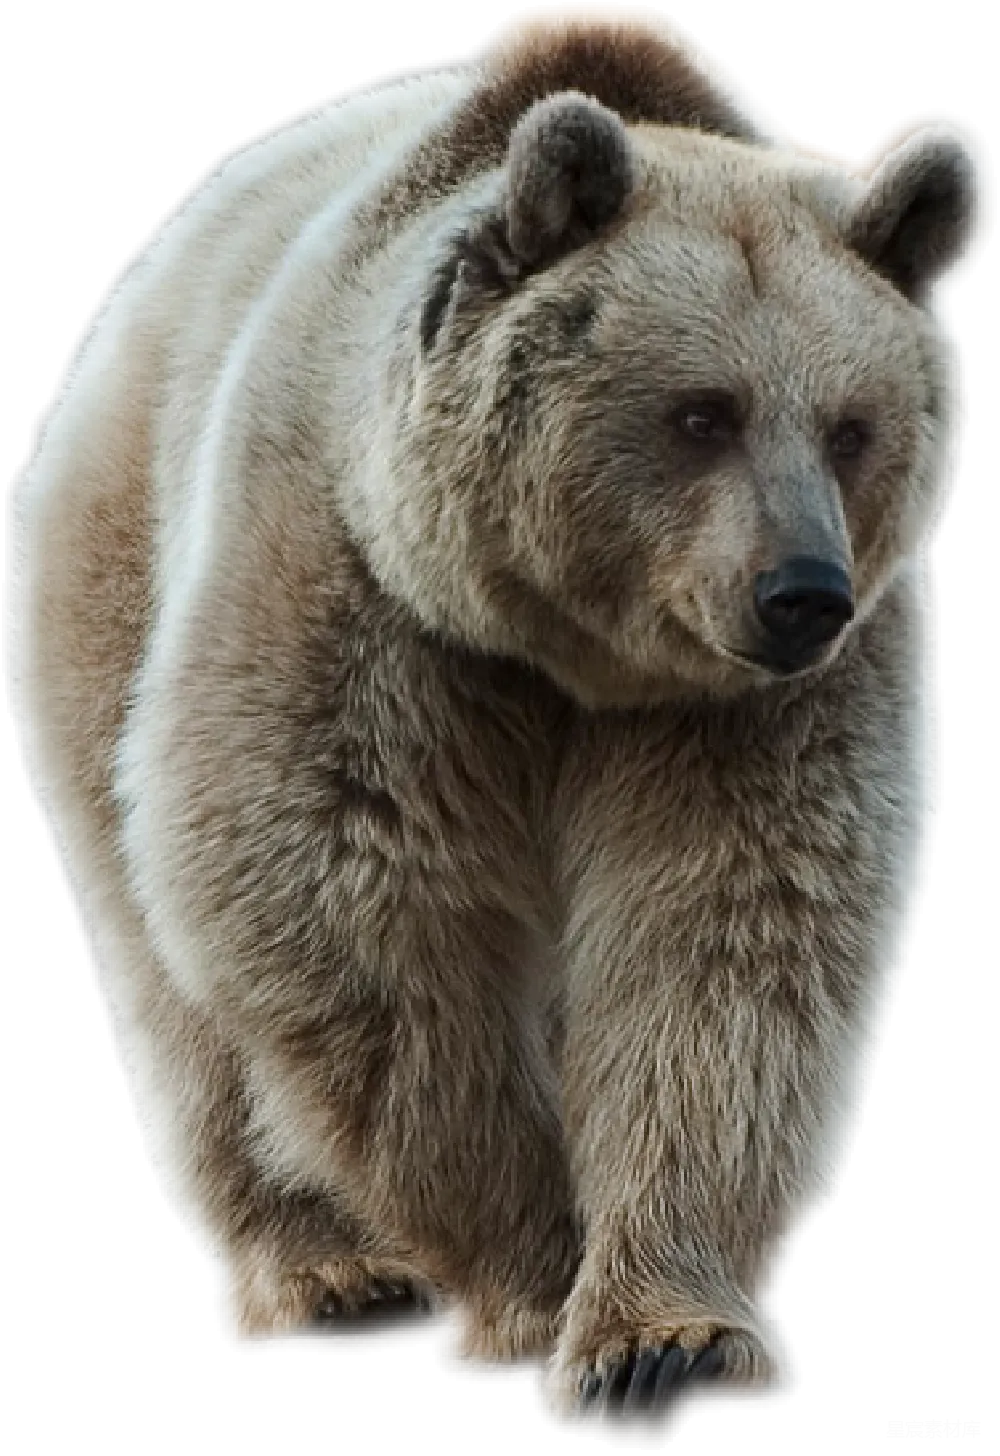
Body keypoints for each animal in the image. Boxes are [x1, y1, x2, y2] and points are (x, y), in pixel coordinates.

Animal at [8, 3, 992, 1440]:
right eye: (702, 411)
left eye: (852, 425)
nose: (799, 591)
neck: (572, 650)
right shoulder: (372, 608)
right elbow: (355, 907)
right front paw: (528, 1280)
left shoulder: (750, 711)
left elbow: (726, 941)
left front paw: (661, 1337)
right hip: (112, 575)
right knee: (177, 986)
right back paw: (322, 1268)